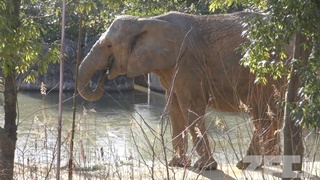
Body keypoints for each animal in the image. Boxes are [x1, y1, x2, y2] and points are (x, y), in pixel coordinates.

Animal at [77, 11, 284, 170]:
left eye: (109, 45)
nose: (104, 75)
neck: (147, 21)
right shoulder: (170, 68)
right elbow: (174, 108)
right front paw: (177, 164)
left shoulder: (187, 64)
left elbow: (191, 107)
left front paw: (205, 167)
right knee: (271, 113)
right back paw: (270, 164)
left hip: (269, 72)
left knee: (264, 114)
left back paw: (245, 164)